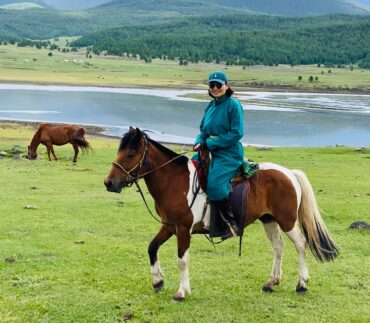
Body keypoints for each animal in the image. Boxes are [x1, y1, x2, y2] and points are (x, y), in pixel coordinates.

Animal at [103, 128, 338, 302]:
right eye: (119, 152)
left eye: (131, 154)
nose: (109, 183)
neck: (175, 181)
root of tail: (289, 173)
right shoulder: (169, 226)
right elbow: (152, 248)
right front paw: (157, 281)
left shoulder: (183, 229)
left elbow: (182, 261)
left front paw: (182, 292)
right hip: (269, 220)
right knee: (278, 247)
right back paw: (272, 282)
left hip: (286, 221)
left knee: (300, 244)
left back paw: (302, 283)